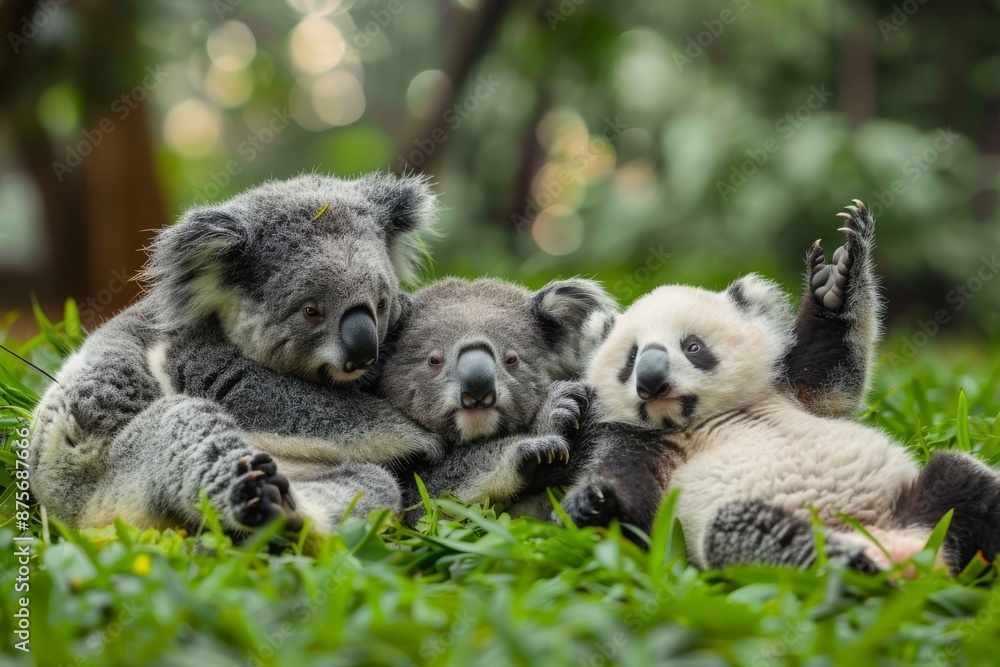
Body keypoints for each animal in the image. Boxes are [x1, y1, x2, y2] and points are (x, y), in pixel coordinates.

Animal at [562, 205, 1000, 573]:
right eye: (631, 358)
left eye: (692, 346)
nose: (651, 382)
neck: (700, 418)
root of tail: (907, 546)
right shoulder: (638, 441)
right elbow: (638, 509)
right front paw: (592, 503)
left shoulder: (788, 386)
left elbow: (833, 375)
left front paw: (838, 277)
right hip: (755, 523)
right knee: (751, 533)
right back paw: (853, 569)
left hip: (920, 499)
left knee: (966, 483)